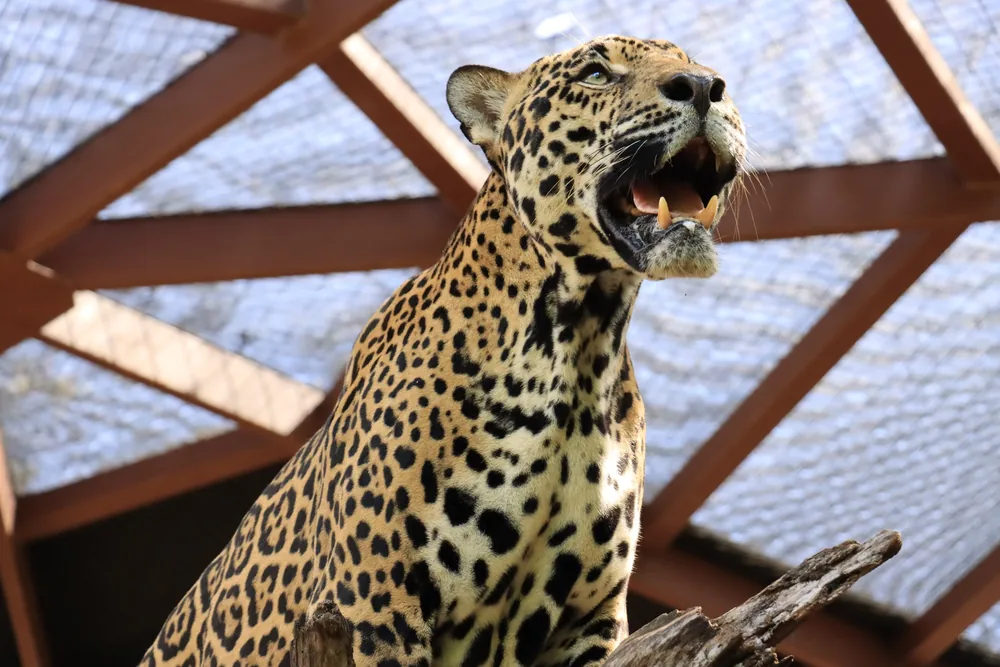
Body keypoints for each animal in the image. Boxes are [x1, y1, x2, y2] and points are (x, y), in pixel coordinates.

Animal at [141, 34, 746, 667]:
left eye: (692, 63)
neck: (579, 343)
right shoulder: (375, 603)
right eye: (597, 74)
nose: (704, 87)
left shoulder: (590, 618)